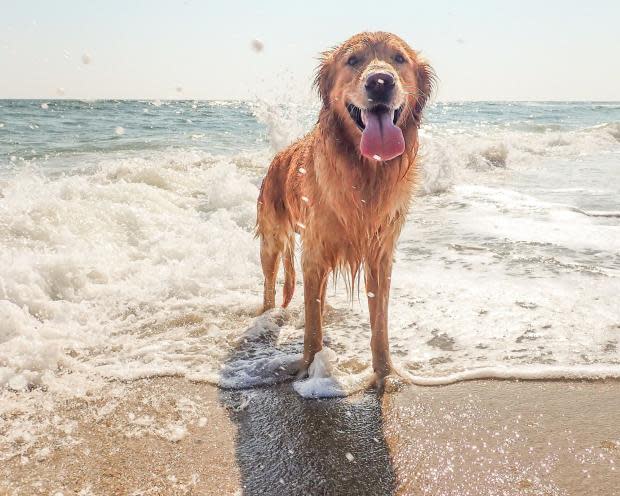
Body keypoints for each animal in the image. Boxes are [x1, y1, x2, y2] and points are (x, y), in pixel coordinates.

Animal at [254, 31, 434, 390]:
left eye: (399, 58)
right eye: (353, 60)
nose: (380, 82)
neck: (365, 171)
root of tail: (278, 156)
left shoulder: (380, 254)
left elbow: (380, 324)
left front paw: (384, 372)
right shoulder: (315, 252)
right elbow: (312, 326)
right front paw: (308, 367)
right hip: (271, 239)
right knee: (269, 284)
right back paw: (268, 318)